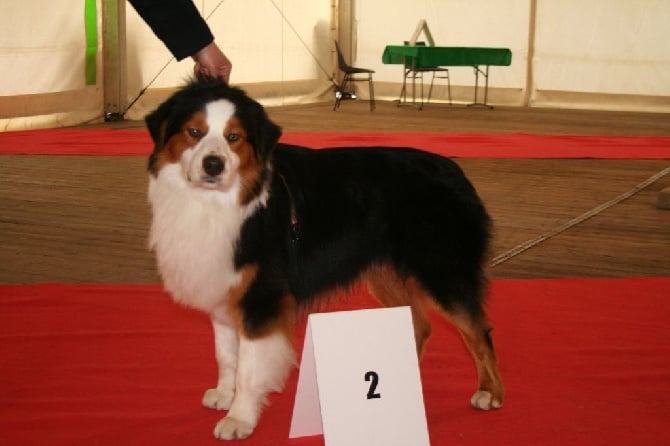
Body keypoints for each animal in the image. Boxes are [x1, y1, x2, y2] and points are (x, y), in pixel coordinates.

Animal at [146, 79, 504, 440]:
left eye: (234, 137)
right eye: (194, 131)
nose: (213, 165)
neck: (222, 202)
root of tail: (454, 168)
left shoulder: (261, 296)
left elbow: (248, 365)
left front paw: (239, 418)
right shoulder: (222, 286)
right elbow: (225, 354)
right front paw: (224, 393)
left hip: (443, 270)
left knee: (477, 330)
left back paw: (490, 393)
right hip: (384, 274)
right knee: (420, 324)